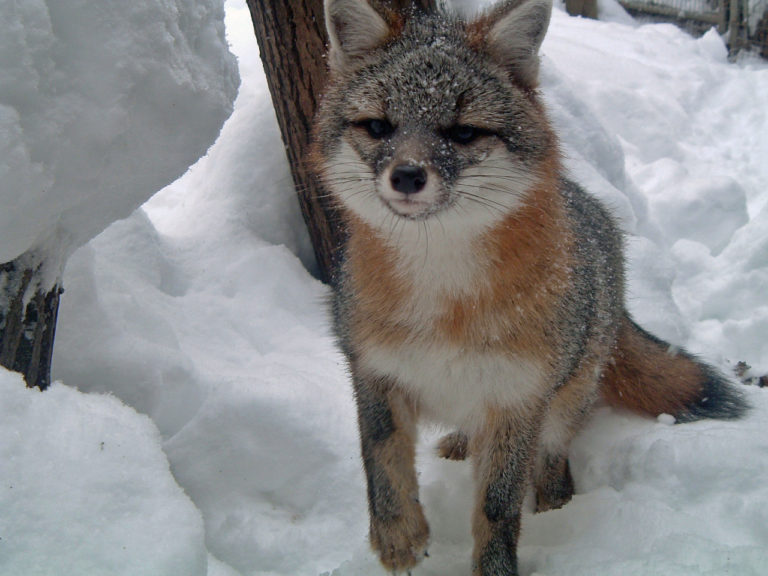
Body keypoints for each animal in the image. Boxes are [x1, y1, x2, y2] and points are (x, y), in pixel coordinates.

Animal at [308, 2, 748, 572]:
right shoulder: (374, 371)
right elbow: (381, 462)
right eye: (379, 127)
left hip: (563, 400)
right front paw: (398, 537)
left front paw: (495, 566)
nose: (406, 175)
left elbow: (498, 506)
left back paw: (556, 500)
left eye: (463, 133)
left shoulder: (518, 400)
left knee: (554, 452)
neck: (443, 300)